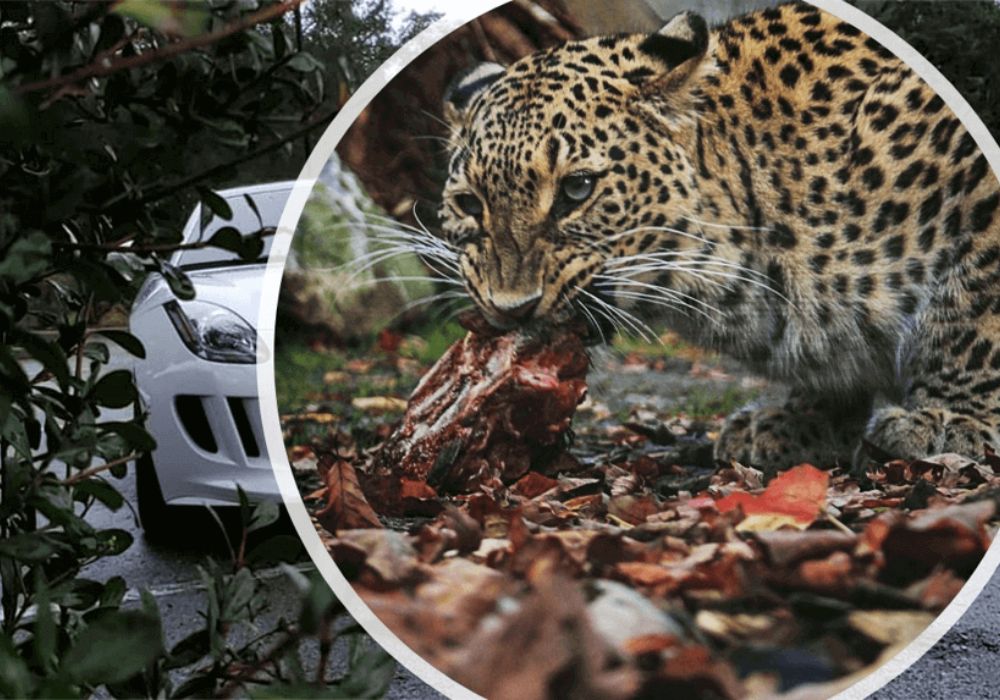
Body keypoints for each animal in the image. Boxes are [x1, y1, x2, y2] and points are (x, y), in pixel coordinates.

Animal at [436, 1, 1000, 474]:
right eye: (470, 204)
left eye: (577, 189)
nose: (511, 308)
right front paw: (802, 417)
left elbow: (973, 315)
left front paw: (952, 418)